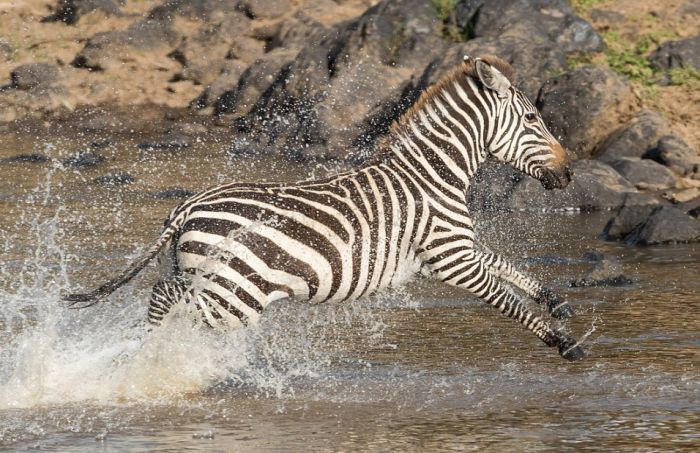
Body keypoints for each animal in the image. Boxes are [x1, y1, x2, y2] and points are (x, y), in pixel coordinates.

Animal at [65, 55, 584, 360]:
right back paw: (143, 355)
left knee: (166, 294)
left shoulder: (455, 251)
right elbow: (507, 300)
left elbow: (509, 267)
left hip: (202, 276)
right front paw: (563, 343)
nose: (569, 172)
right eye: (533, 118)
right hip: (234, 294)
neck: (430, 176)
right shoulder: (452, 261)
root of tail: (189, 207)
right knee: (165, 297)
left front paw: (556, 302)